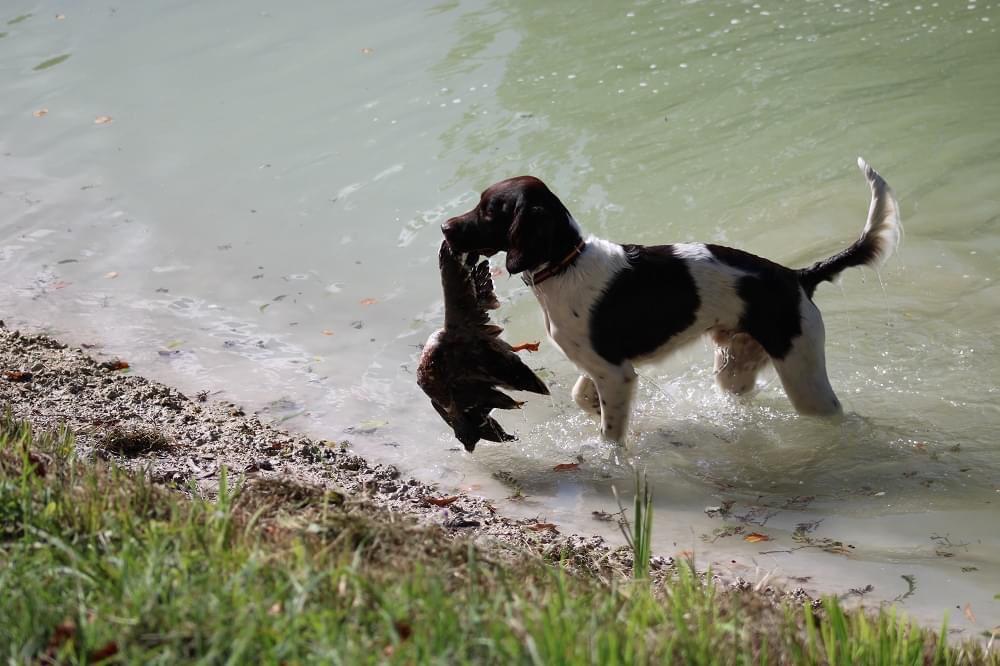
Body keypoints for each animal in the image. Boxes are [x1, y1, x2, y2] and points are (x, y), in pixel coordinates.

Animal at [442, 158, 904, 444]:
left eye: (489, 210)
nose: (445, 227)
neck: (565, 264)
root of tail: (798, 277)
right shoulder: (602, 367)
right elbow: (582, 397)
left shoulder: (616, 373)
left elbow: (611, 431)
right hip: (736, 366)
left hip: (803, 376)